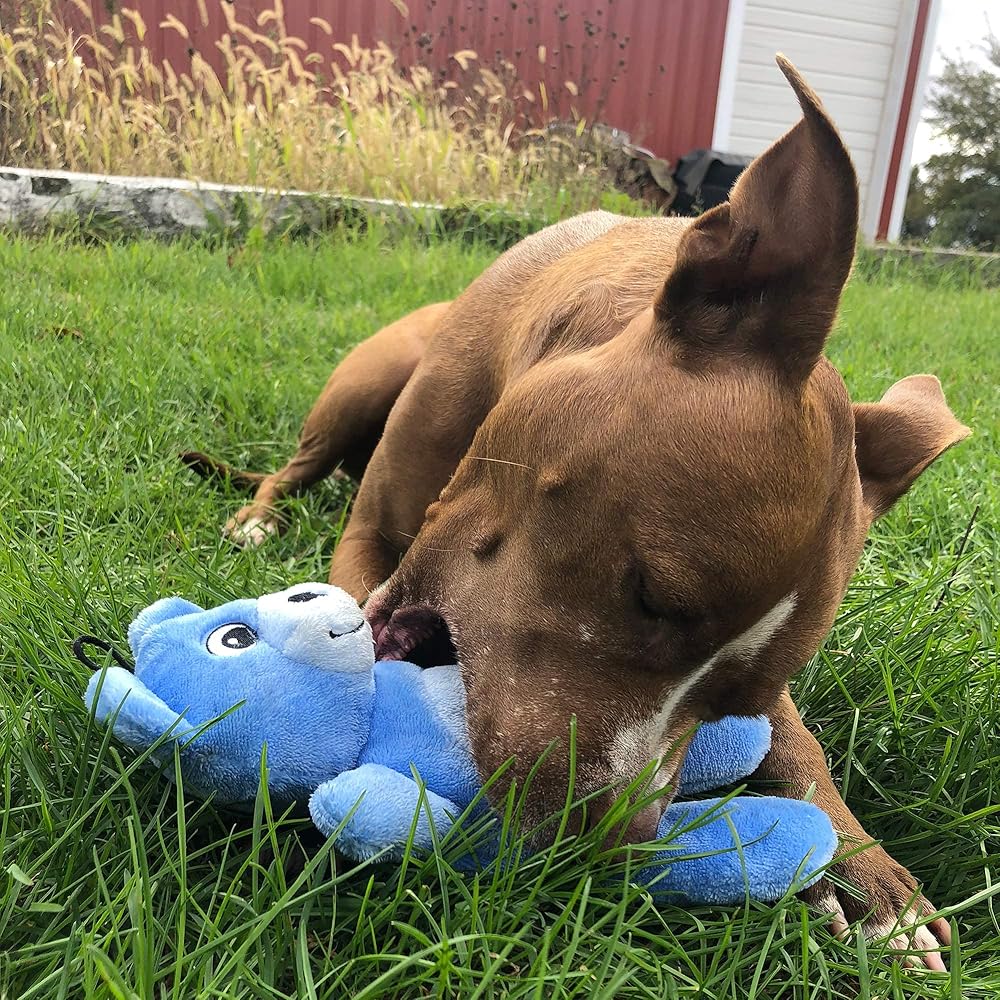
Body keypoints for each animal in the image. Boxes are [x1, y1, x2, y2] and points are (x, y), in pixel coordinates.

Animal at [186, 58, 969, 968]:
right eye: (652, 596)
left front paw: (866, 872)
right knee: (289, 469)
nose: (610, 847)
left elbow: (796, 741)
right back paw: (256, 519)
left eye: (734, 704)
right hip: (355, 393)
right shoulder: (371, 538)